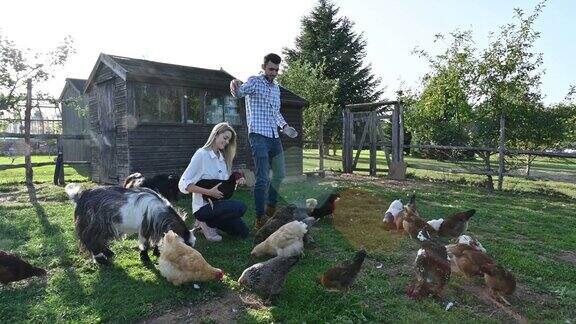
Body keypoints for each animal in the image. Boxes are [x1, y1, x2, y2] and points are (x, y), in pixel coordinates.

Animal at [64, 184, 196, 264]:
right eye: (187, 244)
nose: (191, 258)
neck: (159, 211)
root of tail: (80, 198)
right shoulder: (145, 228)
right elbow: (145, 243)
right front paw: (144, 257)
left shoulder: (156, 228)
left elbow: (157, 240)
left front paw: (157, 252)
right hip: (93, 225)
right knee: (91, 240)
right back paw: (101, 259)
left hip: (103, 227)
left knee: (99, 240)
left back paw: (108, 253)